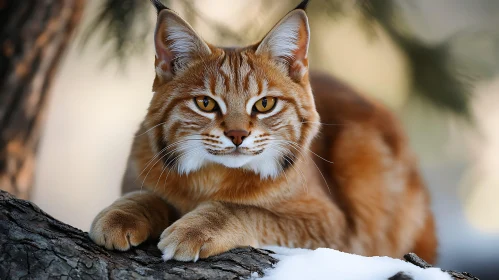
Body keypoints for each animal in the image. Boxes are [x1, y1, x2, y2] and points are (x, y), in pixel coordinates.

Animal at [89, 0, 438, 262]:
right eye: (205, 103)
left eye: (265, 104)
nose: (237, 136)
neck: (214, 174)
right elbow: (147, 194)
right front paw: (122, 214)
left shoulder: (337, 229)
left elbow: (245, 209)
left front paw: (196, 229)